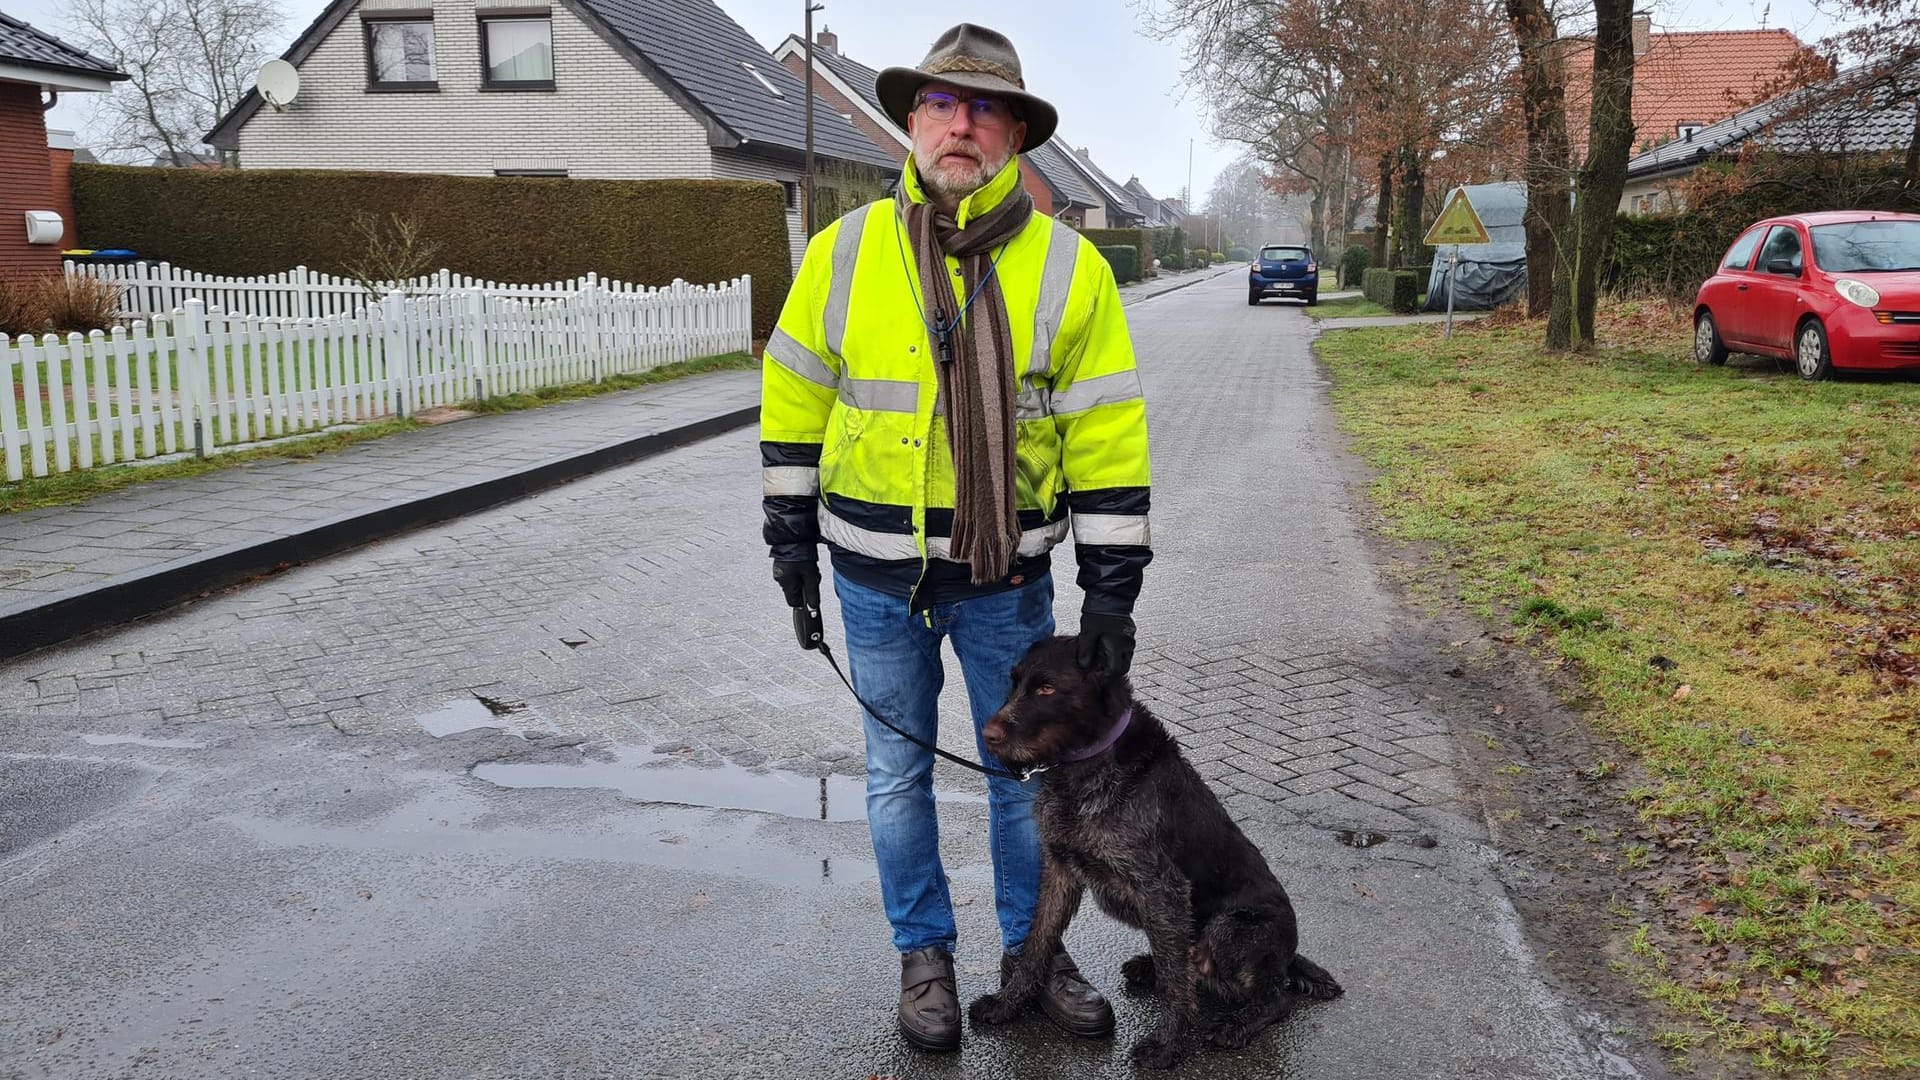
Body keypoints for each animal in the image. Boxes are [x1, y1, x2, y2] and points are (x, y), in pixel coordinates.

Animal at [967, 634, 1344, 1060]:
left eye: (1046, 689)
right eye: (1013, 682)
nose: (988, 736)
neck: (1084, 770)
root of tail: (1287, 957)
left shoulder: (1163, 889)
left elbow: (1174, 982)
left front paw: (1167, 1045)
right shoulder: (1060, 870)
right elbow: (1036, 945)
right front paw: (1007, 1004)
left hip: (1229, 928)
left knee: (1274, 997)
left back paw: (1235, 1025)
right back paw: (1150, 966)